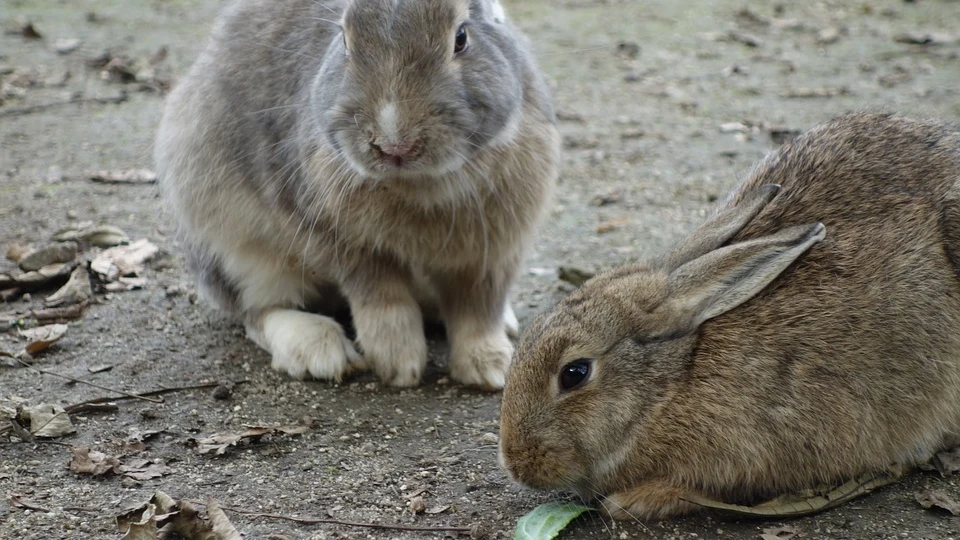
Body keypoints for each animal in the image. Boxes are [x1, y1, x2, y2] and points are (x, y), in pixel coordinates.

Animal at [155, 0, 560, 388]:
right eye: (345, 39)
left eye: (461, 38)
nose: (395, 145)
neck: (418, 183)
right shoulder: (346, 243)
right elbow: (382, 300)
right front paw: (399, 365)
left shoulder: (492, 253)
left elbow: (479, 310)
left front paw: (491, 368)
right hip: (236, 248)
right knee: (257, 311)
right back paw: (319, 349)